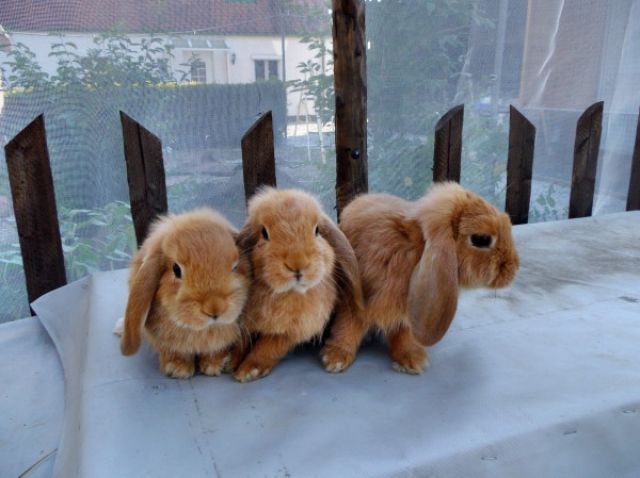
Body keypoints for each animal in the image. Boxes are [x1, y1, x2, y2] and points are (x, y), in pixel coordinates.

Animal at [118, 208, 250, 379]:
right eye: (176, 269)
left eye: (235, 266)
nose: (214, 308)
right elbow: (174, 351)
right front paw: (178, 369)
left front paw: (213, 365)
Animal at [231, 187, 363, 383]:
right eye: (264, 233)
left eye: (317, 230)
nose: (297, 264)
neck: (288, 294)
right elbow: (242, 339)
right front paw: (230, 360)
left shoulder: (293, 331)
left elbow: (269, 345)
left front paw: (249, 370)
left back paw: (334, 359)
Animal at [321, 181, 519, 374]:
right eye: (481, 239)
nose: (513, 268)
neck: (416, 248)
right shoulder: (354, 299)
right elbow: (348, 325)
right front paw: (336, 357)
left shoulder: (407, 309)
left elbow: (403, 332)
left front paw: (411, 360)